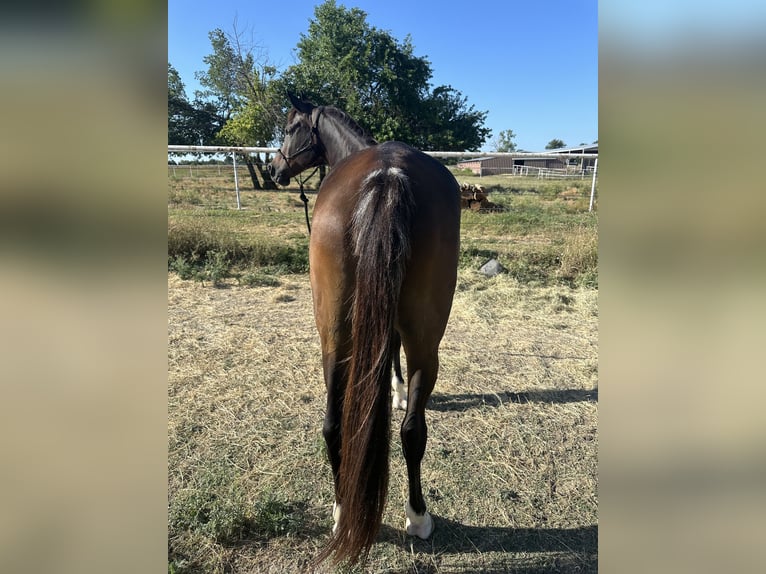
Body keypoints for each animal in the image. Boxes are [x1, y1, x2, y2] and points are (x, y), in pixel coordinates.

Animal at [270, 94, 462, 568]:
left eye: (291, 128)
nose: (274, 169)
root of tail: (387, 174)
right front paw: (395, 390)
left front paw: (393, 389)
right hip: (416, 339)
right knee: (409, 430)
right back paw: (413, 516)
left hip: (335, 336)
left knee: (337, 424)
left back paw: (349, 511)